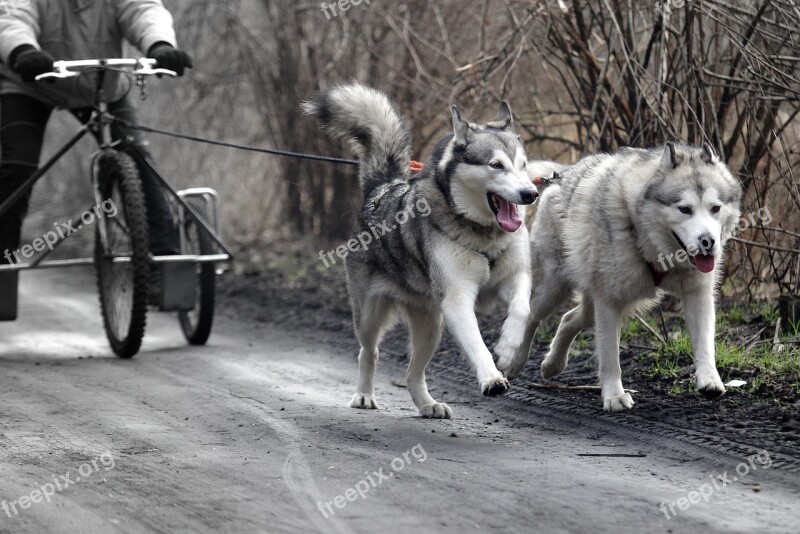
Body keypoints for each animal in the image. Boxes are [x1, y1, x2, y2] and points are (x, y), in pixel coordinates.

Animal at [304, 82, 536, 418]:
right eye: (496, 165)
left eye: (523, 165)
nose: (531, 194)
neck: (483, 233)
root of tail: (382, 187)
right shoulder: (457, 299)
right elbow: (476, 343)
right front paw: (492, 377)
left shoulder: (514, 278)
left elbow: (522, 309)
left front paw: (507, 351)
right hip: (370, 316)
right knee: (369, 352)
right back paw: (364, 395)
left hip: (430, 326)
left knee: (413, 373)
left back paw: (428, 404)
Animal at [500, 146, 744, 414]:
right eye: (685, 209)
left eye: (715, 208)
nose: (708, 241)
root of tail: (564, 174)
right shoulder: (609, 302)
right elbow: (610, 357)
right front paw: (614, 396)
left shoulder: (697, 294)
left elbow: (705, 344)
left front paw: (710, 379)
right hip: (554, 289)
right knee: (531, 316)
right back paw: (514, 361)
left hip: (596, 300)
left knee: (569, 319)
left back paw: (552, 365)